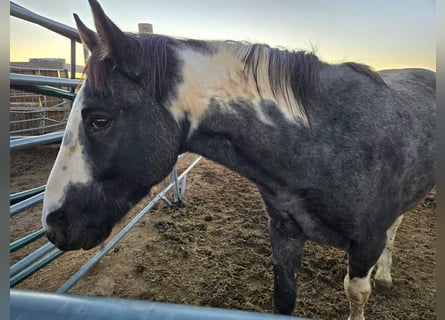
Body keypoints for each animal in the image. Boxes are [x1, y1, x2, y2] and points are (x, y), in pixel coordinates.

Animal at [43, 1, 436, 318]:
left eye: (99, 120)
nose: (54, 225)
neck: (327, 140)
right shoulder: (285, 233)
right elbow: (284, 299)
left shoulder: (366, 243)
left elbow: (357, 294)